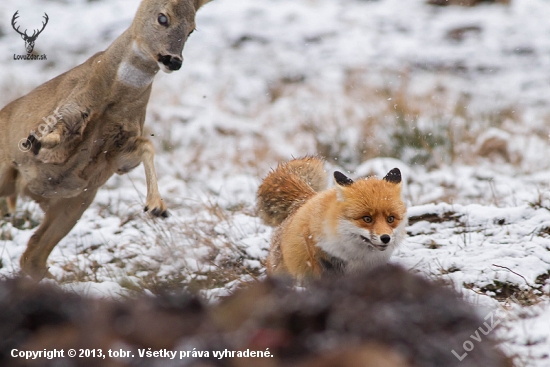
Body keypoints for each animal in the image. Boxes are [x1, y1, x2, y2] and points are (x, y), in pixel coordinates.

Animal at [0, 0, 211, 280]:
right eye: (163, 17)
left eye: (192, 29)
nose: (173, 60)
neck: (112, 94)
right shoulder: (70, 109)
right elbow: (56, 135)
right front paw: (35, 142)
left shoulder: (118, 151)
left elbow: (147, 146)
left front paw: (156, 206)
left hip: (75, 203)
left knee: (32, 256)